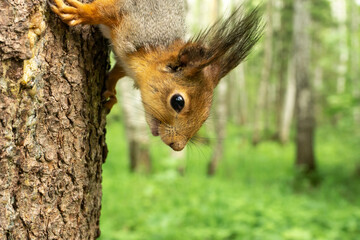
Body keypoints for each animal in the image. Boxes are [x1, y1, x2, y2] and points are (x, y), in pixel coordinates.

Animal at [48, 0, 262, 151]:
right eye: (178, 101)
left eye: (205, 116)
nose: (177, 147)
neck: (155, 50)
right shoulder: (134, 15)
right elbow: (103, 9)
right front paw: (80, 12)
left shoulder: (126, 63)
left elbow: (116, 73)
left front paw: (110, 93)